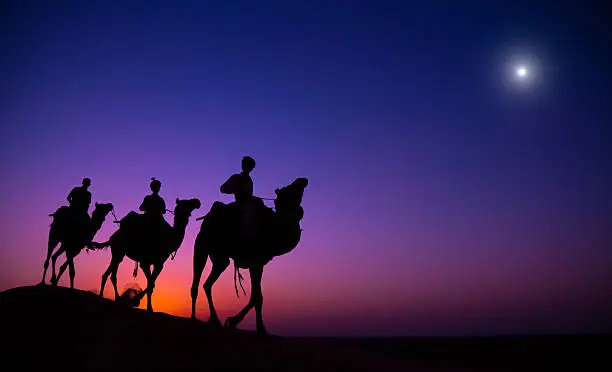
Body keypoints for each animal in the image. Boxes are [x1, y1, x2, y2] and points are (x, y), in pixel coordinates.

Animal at [190, 177, 308, 338]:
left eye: (298, 191)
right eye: (288, 190)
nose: (303, 181)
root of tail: (207, 218)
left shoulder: (259, 263)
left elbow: (256, 296)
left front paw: (237, 322)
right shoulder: (254, 261)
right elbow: (257, 297)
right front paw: (258, 329)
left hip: (220, 259)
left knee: (208, 283)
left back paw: (214, 320)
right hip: (201, 246)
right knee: (196, 283)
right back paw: (194, 318)